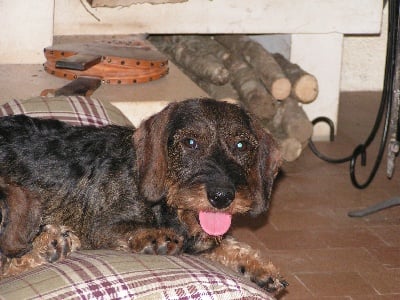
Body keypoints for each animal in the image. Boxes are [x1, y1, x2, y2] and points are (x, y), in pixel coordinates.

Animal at [0, 98, 288, 292]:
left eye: (241, 145)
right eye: (190, 143)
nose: (222, 196)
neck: (167, 204)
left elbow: (225, 243)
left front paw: (259, 268)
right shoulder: (100, 228)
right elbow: (129, 230)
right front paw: (154, 237)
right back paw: (47, 245)